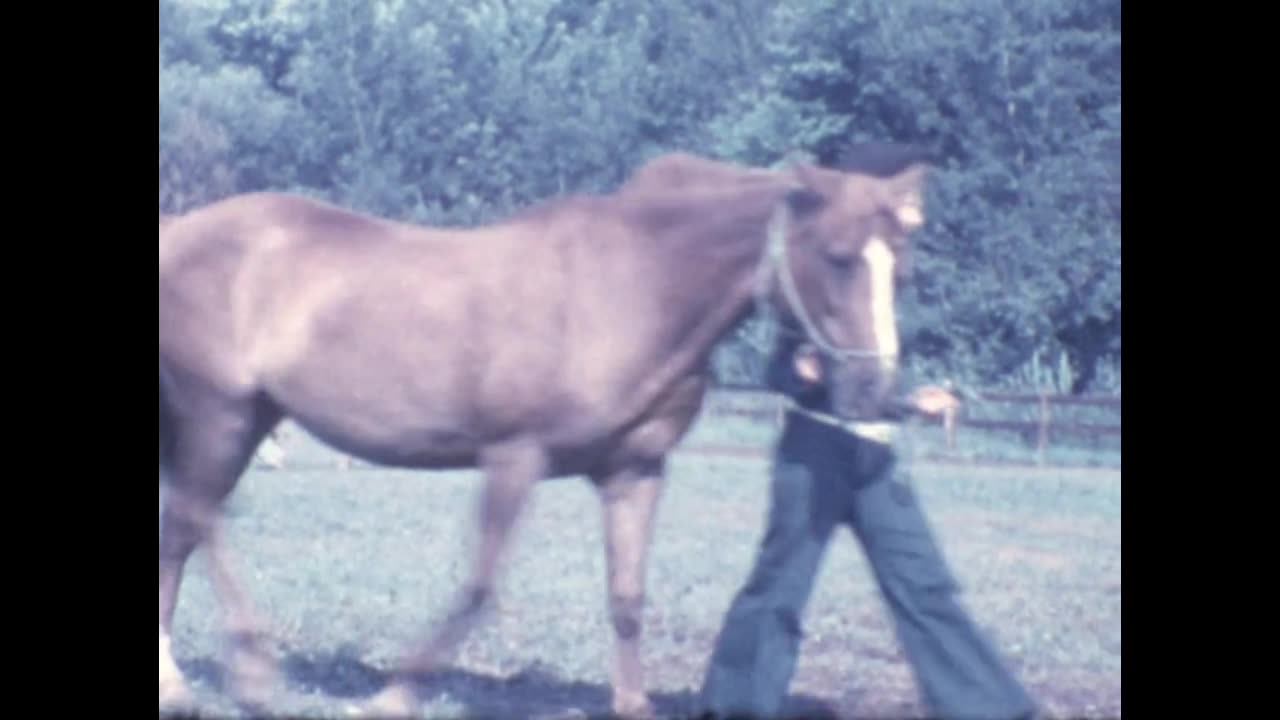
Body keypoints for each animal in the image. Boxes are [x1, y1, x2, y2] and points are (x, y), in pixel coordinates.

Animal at [157, 149, 931, 712]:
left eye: (902, 271)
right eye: (838, 256)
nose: (874, 393)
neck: (635, 285)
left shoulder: (634, 471)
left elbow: (627, 598)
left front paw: (632, 705)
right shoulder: (514, 457)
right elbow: (479, 585)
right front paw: (393, 697)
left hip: (249, 418)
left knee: (184, 532)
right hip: (220, 413)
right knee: (198, 519)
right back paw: (248, 673)